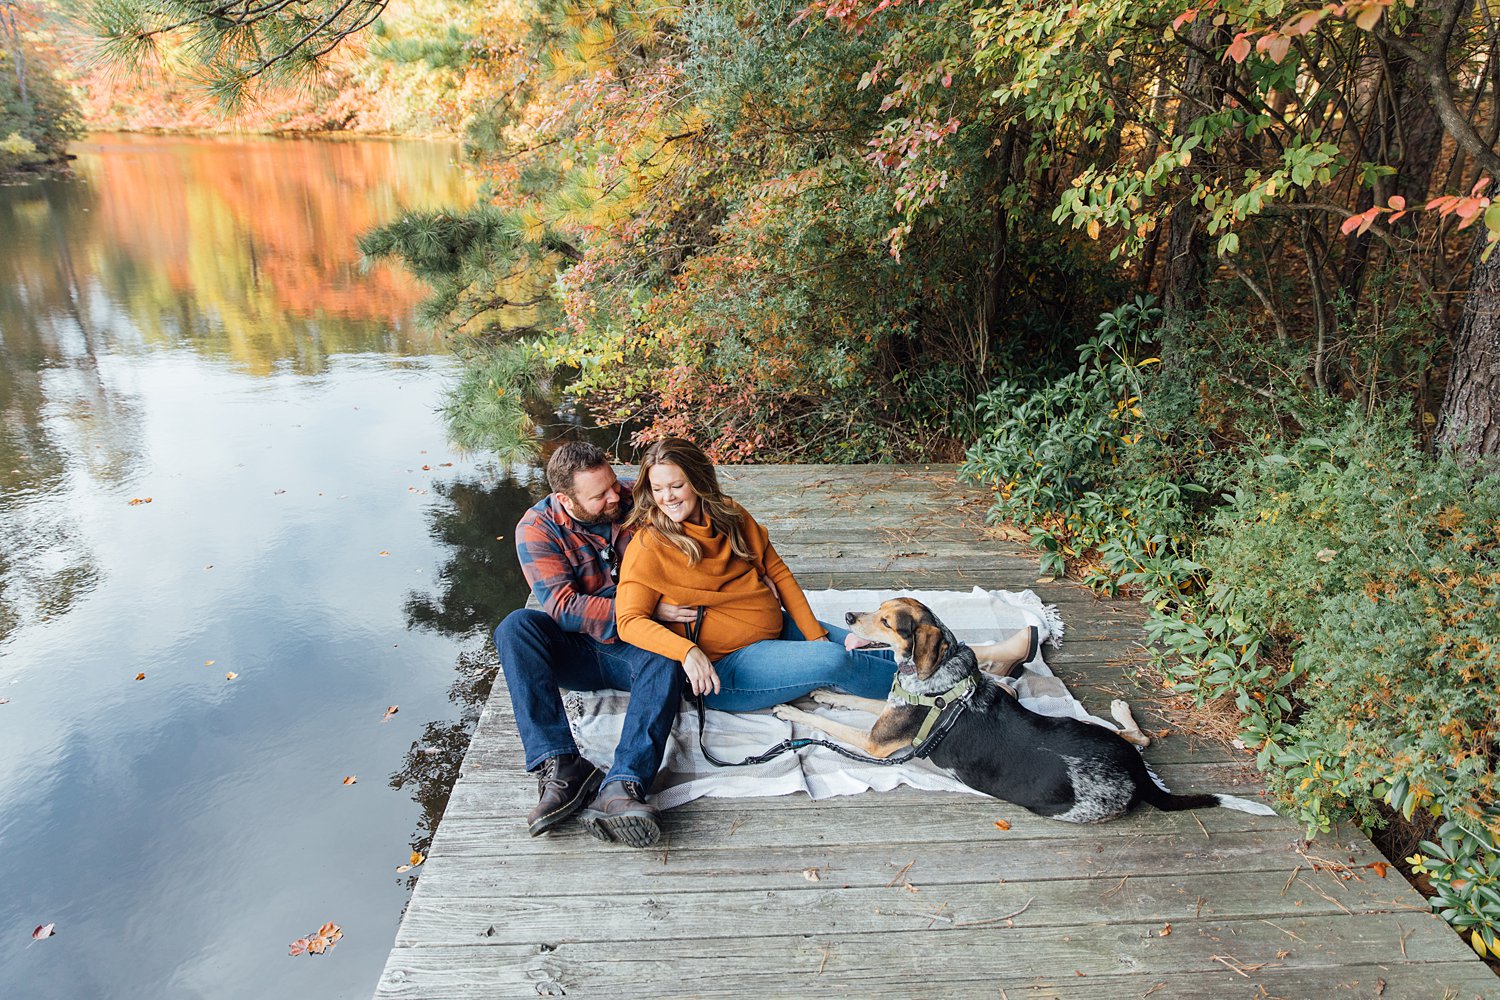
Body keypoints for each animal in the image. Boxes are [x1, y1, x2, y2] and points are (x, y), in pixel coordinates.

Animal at [774, 599, 1278, 827]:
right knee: (1141, 737)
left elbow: (828, 724)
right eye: (876, 610)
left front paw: (786, 707)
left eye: (885, 621)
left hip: (1069, 807)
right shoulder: (890, 710)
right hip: (1082, 723)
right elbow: (859, 701)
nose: (849, 615)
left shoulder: (876, 742)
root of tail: (1135, 775)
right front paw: (825, 693)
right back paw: (1120, 710)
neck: (939, 677)